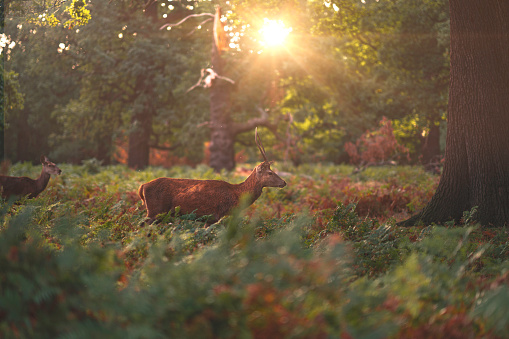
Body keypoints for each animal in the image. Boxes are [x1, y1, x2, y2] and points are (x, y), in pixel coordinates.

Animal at [138, 129, 286, 227]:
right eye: (270, 172)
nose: (284, 182)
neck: (236, 195)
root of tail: (142, 186)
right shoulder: (212, 216)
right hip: (154, 211)